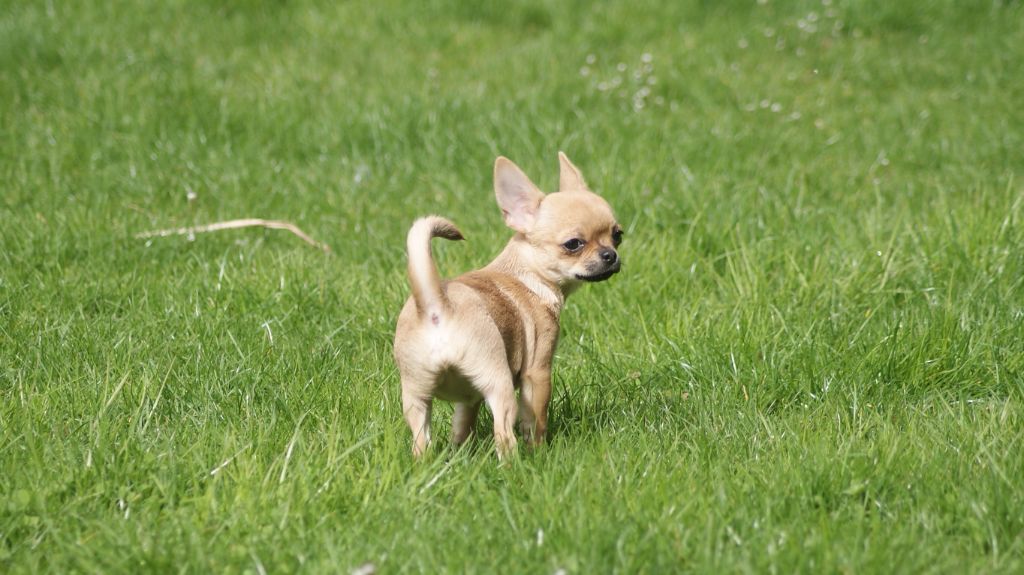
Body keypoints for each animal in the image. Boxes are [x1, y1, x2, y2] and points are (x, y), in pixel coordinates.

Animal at [393, 152, 622, 456]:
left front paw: (459, 450)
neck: (526, 272)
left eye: (617, 235)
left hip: (415, 395)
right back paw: (517, 463)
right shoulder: (537, 371)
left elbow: (462, 422)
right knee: (503, 432)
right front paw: (539, 450)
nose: (611, 255)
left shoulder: (468, 396)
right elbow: (535, 419)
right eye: (573, 244)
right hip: (497, 382)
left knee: (420, 442)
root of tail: (436, 304)